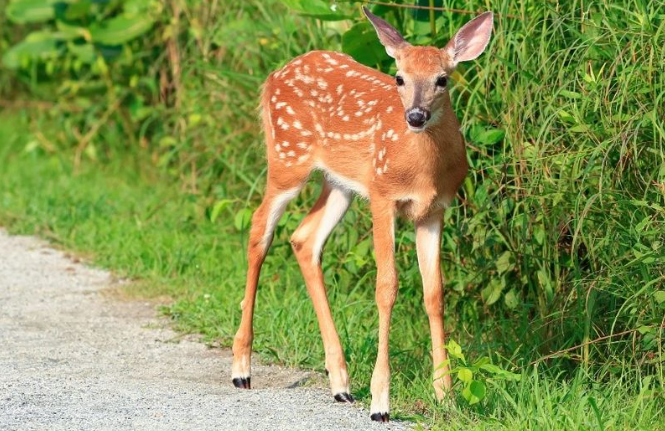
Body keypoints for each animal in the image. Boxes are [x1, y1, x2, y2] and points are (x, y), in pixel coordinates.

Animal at [231, 7, 493, 422]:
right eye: (399, 77)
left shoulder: (434, 210)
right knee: (260, 227)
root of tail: (274, 74)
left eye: (442, 79)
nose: (415, 116)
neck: (423, 169)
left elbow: (434, 293)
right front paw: (381, 402)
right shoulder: (382, 196)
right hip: (288, 158)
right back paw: (242, 369)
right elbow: (386, 287)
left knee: (304, 238)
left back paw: (340, 383)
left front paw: (446, 395)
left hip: (340, 184)